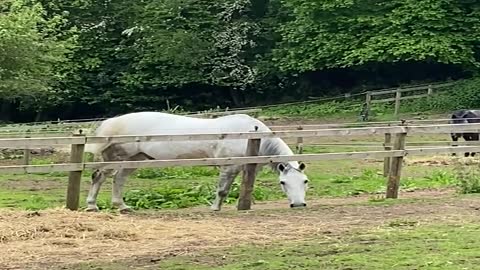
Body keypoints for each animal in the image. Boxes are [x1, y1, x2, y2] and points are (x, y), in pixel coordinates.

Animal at [84, 110, 310, 212]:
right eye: (283, 182)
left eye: (305, 181)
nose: (298, 204)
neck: (250, 134)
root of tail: (111, 122)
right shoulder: (229, 167)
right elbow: (222, 190)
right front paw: (215, 208)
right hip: (116, 159)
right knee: (99, 176)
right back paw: (92, 206)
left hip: (135, 160)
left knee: (119, 180)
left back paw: (122, 206)